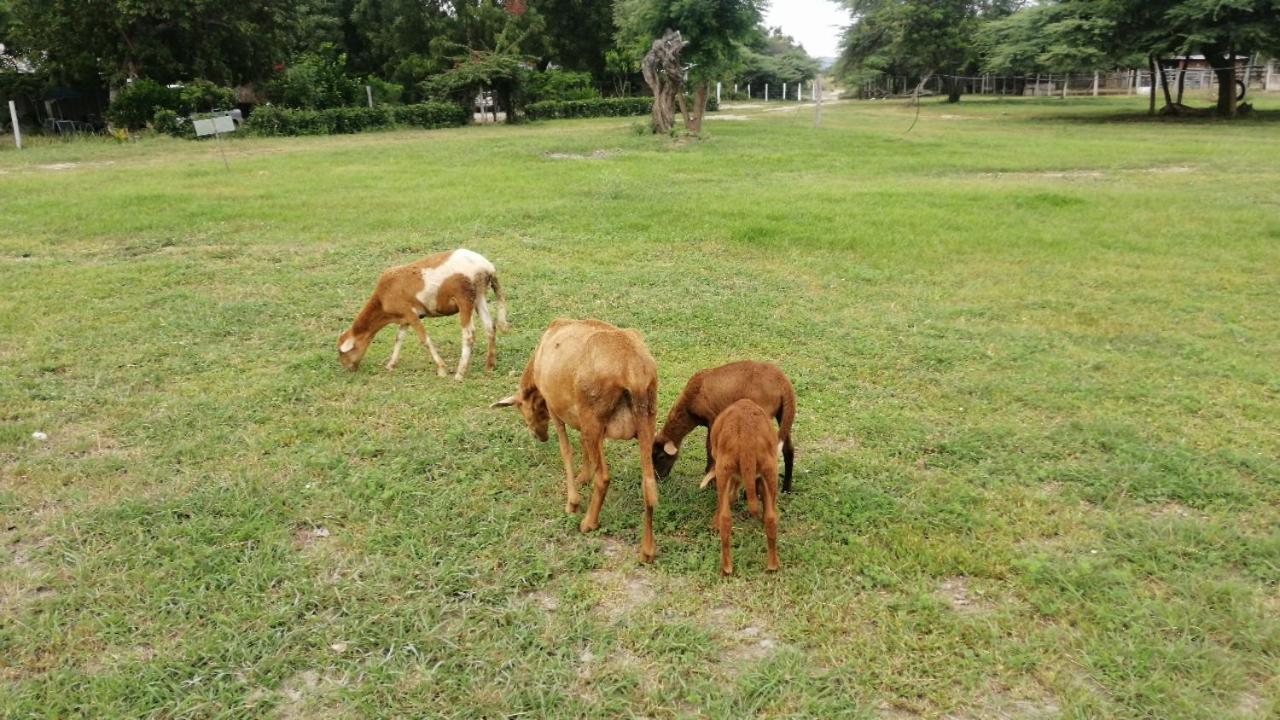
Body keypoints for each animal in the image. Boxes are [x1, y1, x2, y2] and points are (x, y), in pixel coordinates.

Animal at [340, 245, 509, 379]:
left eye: (343, 353)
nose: (348, 369)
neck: (381, 302)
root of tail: (487, 267)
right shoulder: (405, 318)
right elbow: (399, 339)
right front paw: (391, 365)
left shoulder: (411, 314)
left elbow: (424, 340)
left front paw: (441, 369)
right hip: (479, 296)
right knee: (490, 327)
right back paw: (489, 366)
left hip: (465, 298)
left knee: (469, 335)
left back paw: (460, 374)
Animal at [488, 317, 660, 561]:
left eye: (521, 408)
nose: (539, 436)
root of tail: (634, 373)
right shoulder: (580, 419)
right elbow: (582, 446)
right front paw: (583, 477)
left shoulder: (556, 409)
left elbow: (566, 450)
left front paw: (572, 502)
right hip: (646, 419)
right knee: (649, 485)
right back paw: (647, 551)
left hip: (594, 417)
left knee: (604, 477)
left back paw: (589, 523)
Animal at [655, 361, 793, 489]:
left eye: (661, 456)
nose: (658, 479)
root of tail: (783, 382)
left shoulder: (712, 419)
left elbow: (709, 447)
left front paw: (710, 478)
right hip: (782, 414)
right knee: (788, 448)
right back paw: (786, 488)